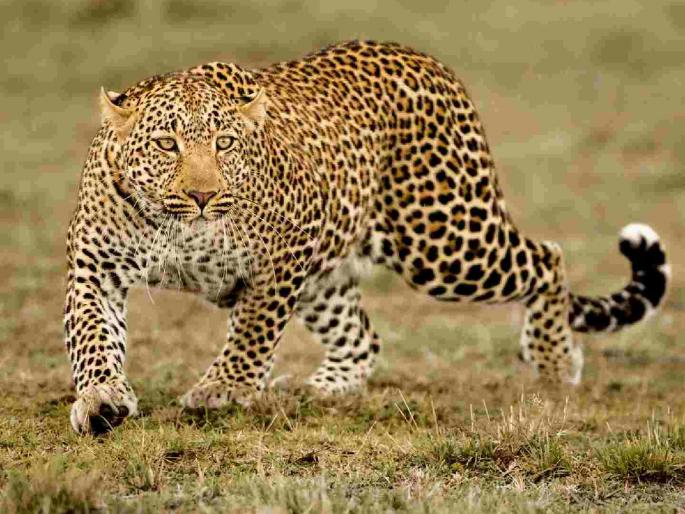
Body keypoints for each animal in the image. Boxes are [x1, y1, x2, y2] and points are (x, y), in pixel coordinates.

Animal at [65, 40, 670, 434]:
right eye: (166, 144)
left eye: (226, 143)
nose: (202, 196)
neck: (177, 230)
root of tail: (428, 61)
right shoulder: (94, 268)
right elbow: (93, 338)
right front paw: (101, 399)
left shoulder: (283, 255)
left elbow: (253, 331)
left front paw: (225, 389)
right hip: (333, 275)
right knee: (363, 337)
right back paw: (320, 387)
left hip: (445, 241)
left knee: (547, 258)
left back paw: (553, 362)